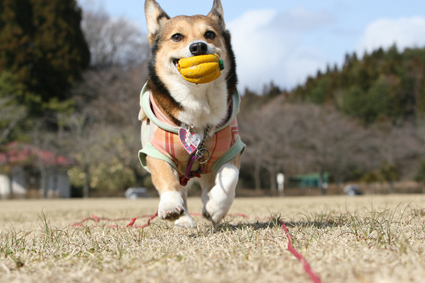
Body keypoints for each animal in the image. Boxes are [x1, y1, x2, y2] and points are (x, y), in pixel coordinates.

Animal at [139, 0, 243, 227]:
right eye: (177, 36)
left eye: (210, 34)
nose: (198, 46)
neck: (197, 97)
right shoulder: (155, 151)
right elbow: (166, 178)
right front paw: (170, 206)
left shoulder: (231, 149)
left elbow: (230, 176)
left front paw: (216, 208)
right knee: (182, 189)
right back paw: (184, 219)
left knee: (208, 185)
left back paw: (208, 203)